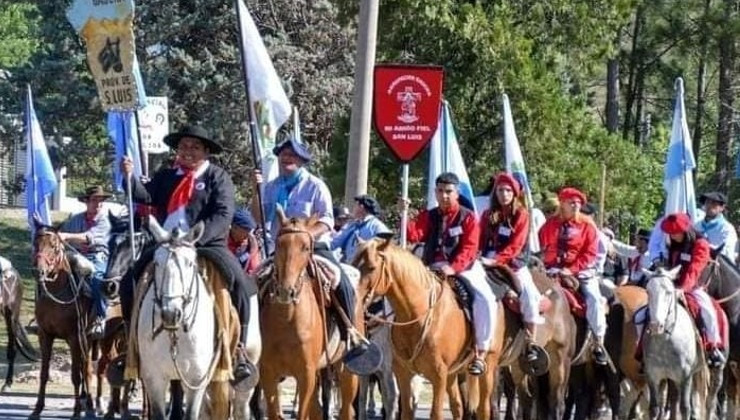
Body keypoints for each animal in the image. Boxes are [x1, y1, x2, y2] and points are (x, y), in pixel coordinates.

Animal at [30, 221, 94, 418]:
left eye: (54, 246)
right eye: (35, 243)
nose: (38, 271)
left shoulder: (74, 337)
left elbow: (75, 375)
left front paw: (76, 411)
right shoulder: (44, 335)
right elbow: (44, 373)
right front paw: (37, 408)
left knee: (87, 368)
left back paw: (90, 405)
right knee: (84, 366)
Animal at [260, 212, 358, 420]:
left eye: (305, 247)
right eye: (279, 244)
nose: (286, 291)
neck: (287, 319)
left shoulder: (306, 375)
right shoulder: (268, 373)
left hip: (346, 371)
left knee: (347, 409)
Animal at [352, 236, 502, 420]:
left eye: (372, 267)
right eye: (353, 263)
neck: (417, 316)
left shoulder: (438, 376)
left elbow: (435, 413)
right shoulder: (403, 373)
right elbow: (406, 410)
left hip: (488, 368)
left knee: (483, 408)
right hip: (453, 373)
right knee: (458, 407)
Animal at [644, 268, 708, 420]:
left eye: (668, 292)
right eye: (648, 291)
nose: (656, 326)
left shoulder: (685, 377)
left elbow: (685, 408)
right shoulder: (652, 376)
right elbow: (654, 408)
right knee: (673, 399)